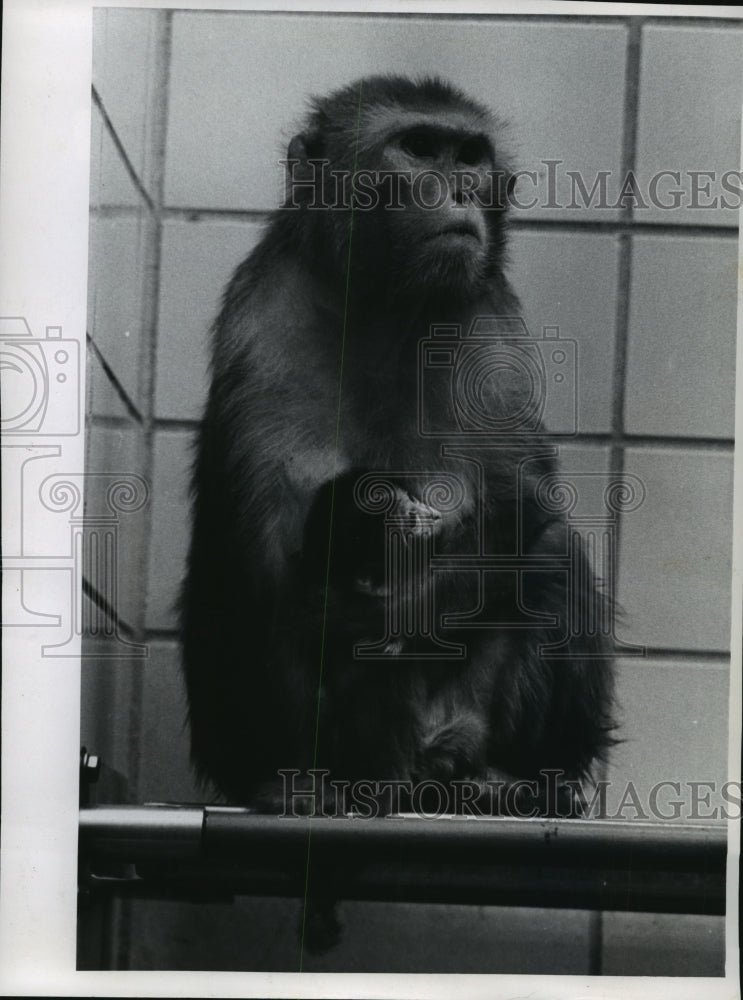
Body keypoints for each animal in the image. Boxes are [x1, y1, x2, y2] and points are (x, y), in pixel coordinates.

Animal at [179, 78, 616, 824]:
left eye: (469, 157)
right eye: (417, 148)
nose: (460, 190)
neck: (387, 302)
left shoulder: (487, 322)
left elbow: (520, 512)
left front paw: (387, 608)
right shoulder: (266, 316)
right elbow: (271, 554)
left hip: (462, 719)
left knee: (553, 553)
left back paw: (505, 778)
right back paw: (301, 779)